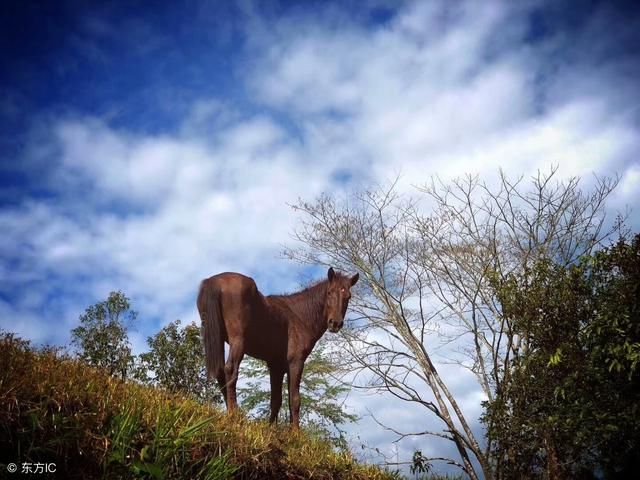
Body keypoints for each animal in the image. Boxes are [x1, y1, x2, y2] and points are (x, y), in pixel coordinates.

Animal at [198, 266, 358, 428]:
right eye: (329, 292)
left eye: (348, 296)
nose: (335, 323)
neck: (299, 316)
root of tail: (215, 281)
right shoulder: (296, 362)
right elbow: (294, 399)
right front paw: (295, 431)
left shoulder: (276, 366)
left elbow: (276, 400)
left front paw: (271, 428)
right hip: (238, 341)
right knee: (230, 370)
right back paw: (234, 415)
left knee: (220, 372)